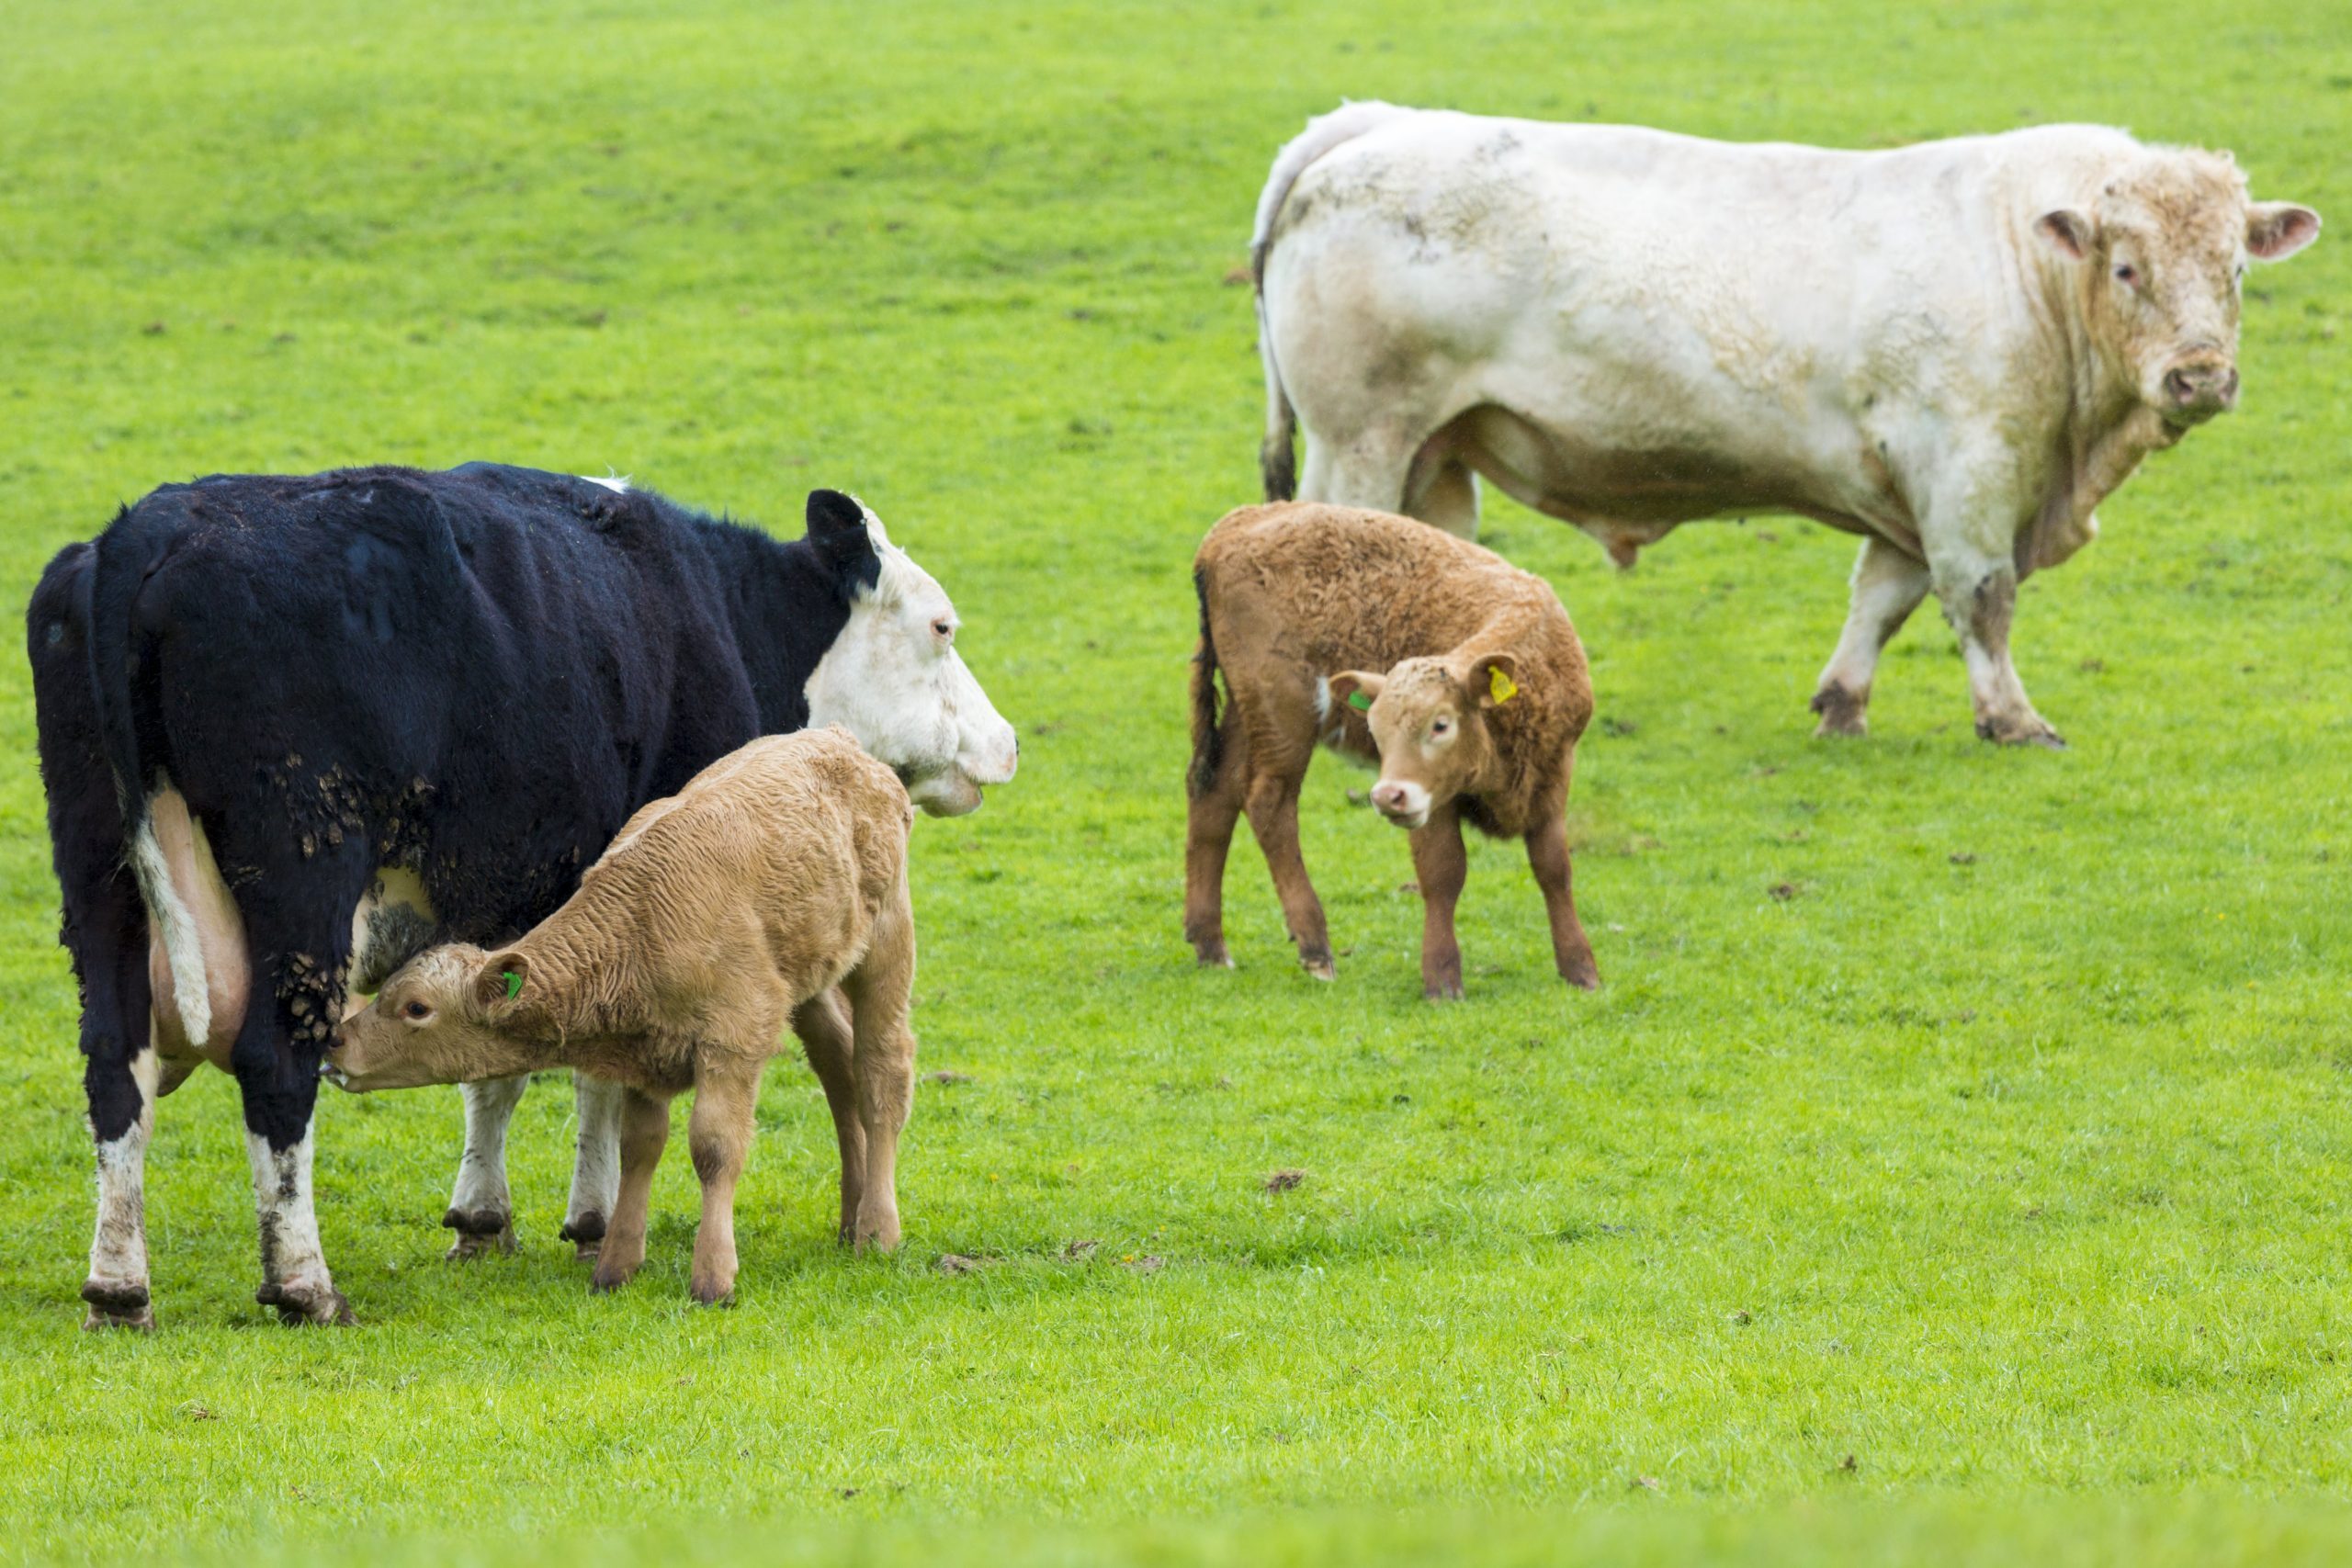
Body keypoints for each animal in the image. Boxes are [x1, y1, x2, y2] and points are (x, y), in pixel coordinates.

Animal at [29, 463, 1017, 1328]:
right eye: (942, 627)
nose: (1007, 741)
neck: (718, 611)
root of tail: (151, 526)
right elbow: (590, 1073)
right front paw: (591, 1221)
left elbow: (498, 1064)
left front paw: (483, 1217)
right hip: (304, 878)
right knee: (276, 1064)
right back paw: (304, 1284)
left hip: (99, 882)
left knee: (114, 1066)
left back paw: (119, 1287)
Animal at [1251, 106, 2321, 746]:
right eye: (2128, 268)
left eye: (2235, 268)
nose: (2199, 375)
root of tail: (1376, 121)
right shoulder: (1963, 463)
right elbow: (1979, 596)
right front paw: (2013, 719)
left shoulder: (1911, 483)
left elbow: (1884, 597)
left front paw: (1841, 703)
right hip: (1361, 438)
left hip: (1433, 456)